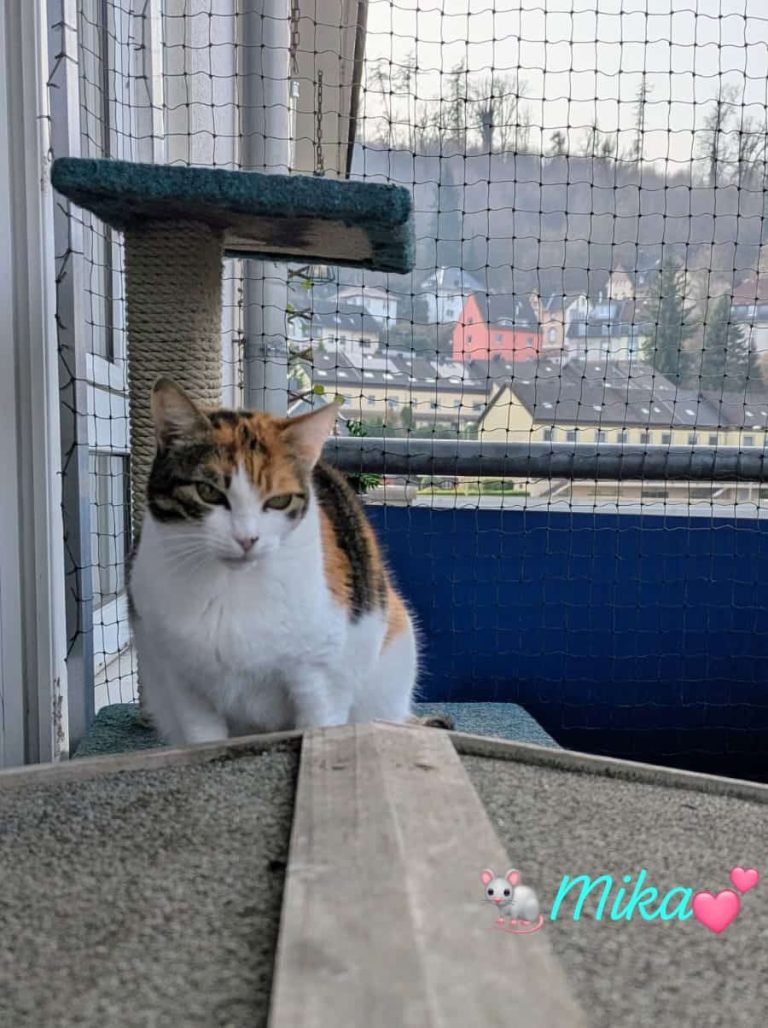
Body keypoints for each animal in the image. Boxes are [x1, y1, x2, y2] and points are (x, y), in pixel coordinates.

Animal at [128, 377, 421, 746]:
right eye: (208, 492)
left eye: (278, 501)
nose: (246, 539)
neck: (231, 589)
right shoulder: (185, 685)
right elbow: (202, 739)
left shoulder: (320, 678)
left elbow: (320, 725)